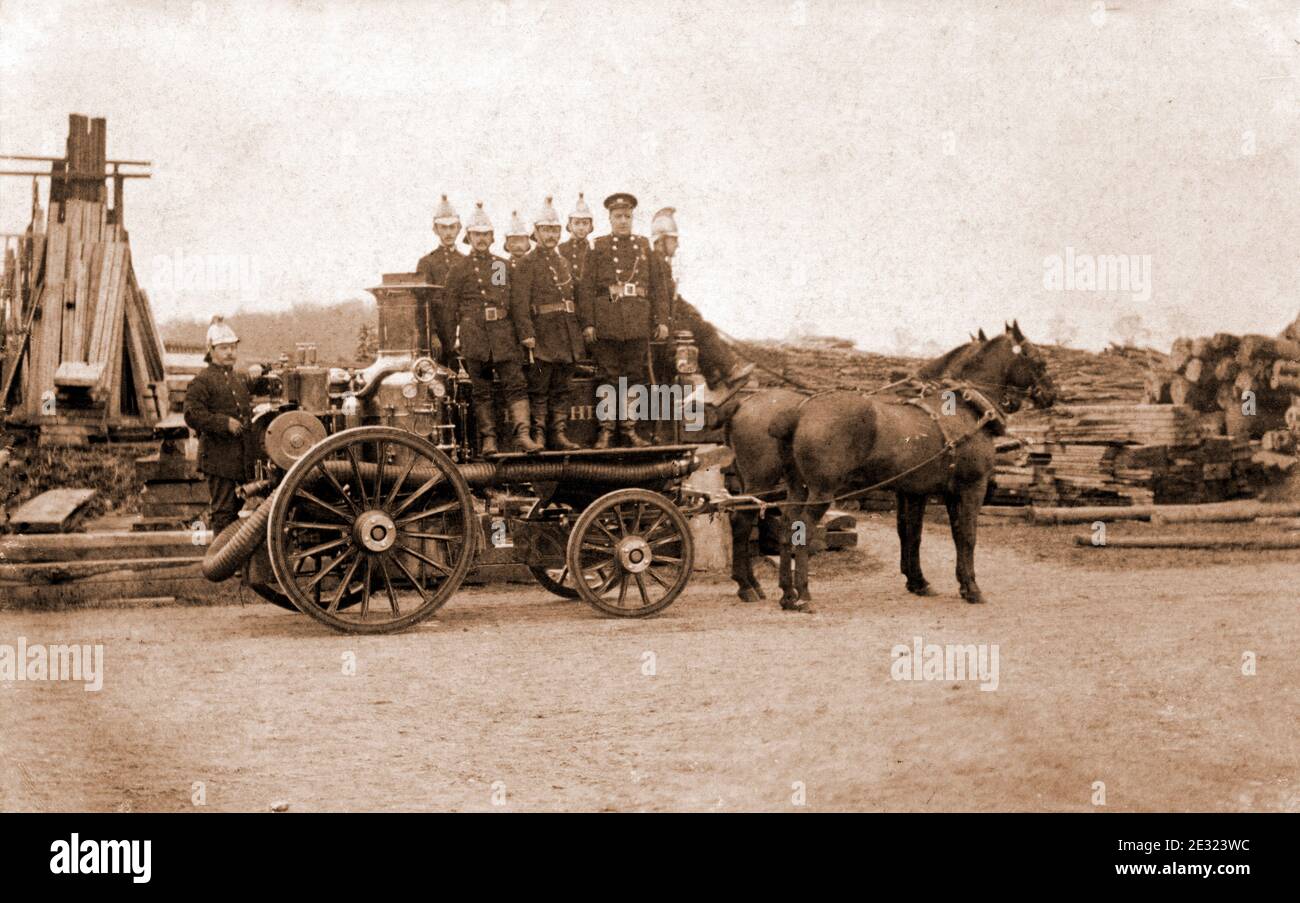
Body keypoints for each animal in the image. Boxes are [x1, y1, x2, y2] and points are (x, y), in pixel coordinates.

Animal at [728, 320, 1050, 610]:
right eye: (1038, 359)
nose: (1051, 394)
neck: (964, 409)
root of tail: (798, 411)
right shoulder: (971, 487)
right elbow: (967, 536)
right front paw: (970, 588)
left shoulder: (924, 491)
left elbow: (922, 533)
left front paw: (922, 581)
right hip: (807, 490)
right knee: (786, 527)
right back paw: (796, 594)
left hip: (796, 488)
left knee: (784, 526)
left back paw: (783, 593)